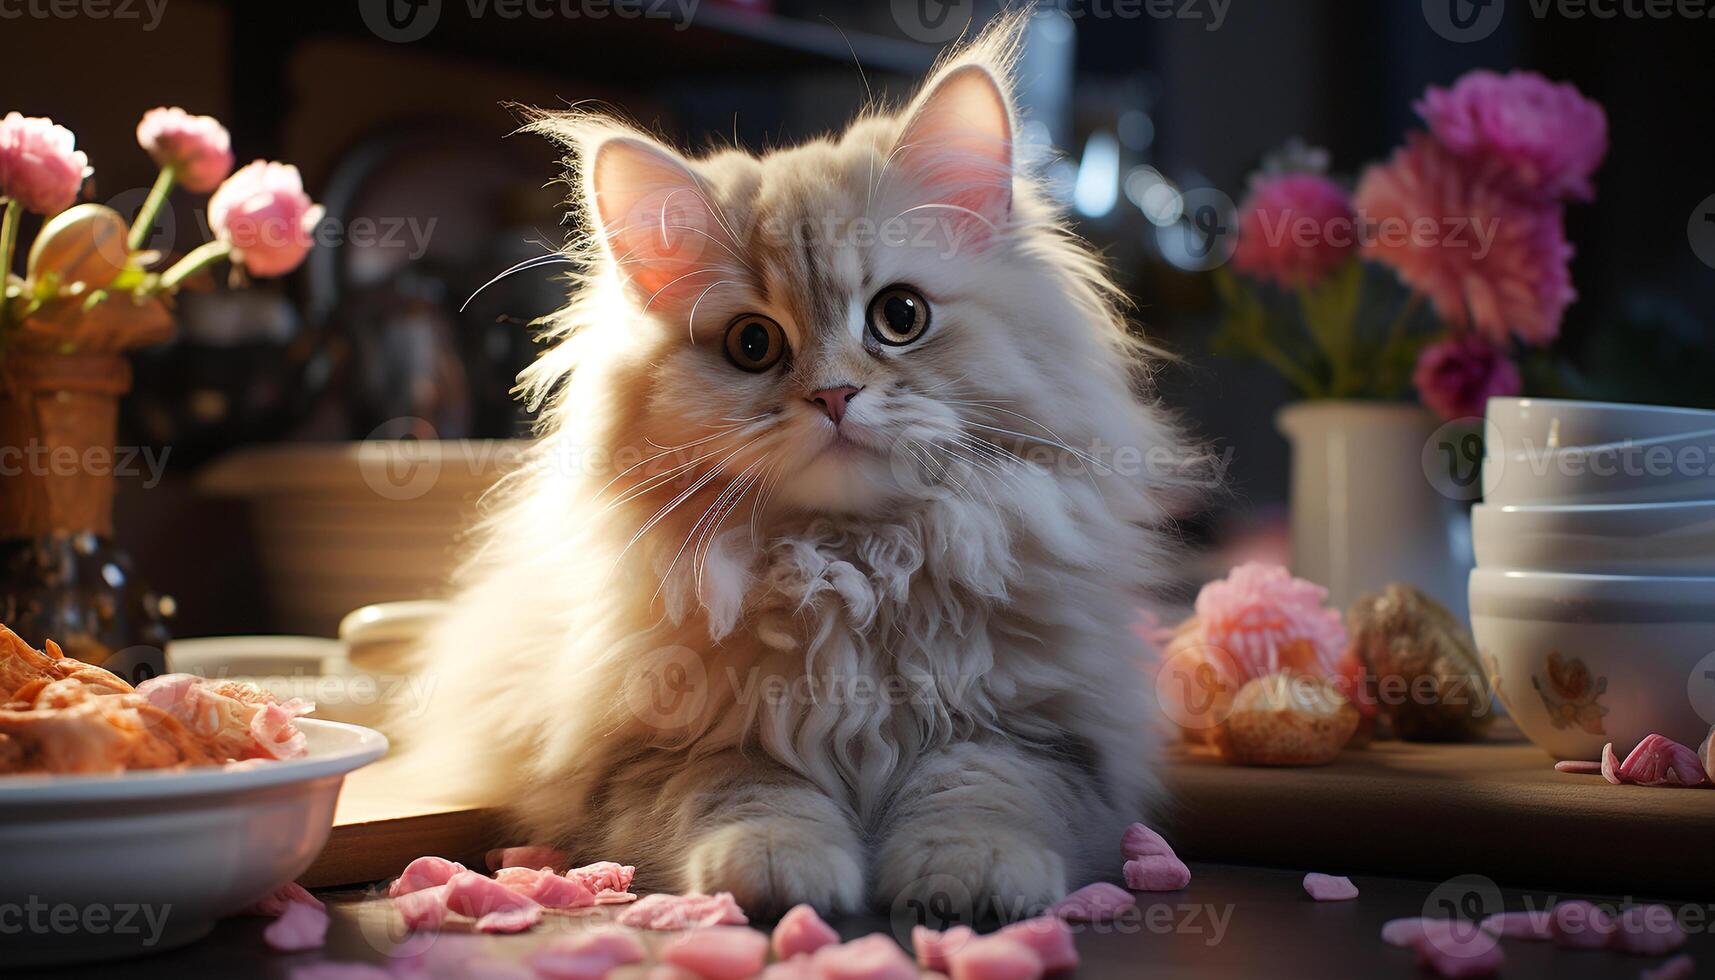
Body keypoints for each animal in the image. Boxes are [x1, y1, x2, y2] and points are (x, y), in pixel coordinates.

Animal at [401, 19, 1207, 926]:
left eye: (900, 316)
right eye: (753, 344)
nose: (833, 395)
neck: (852, 567)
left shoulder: (1041, 735)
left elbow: (980, 791)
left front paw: (970, 878)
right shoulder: (655, 751)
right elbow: (751, 790)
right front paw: (780, 872)